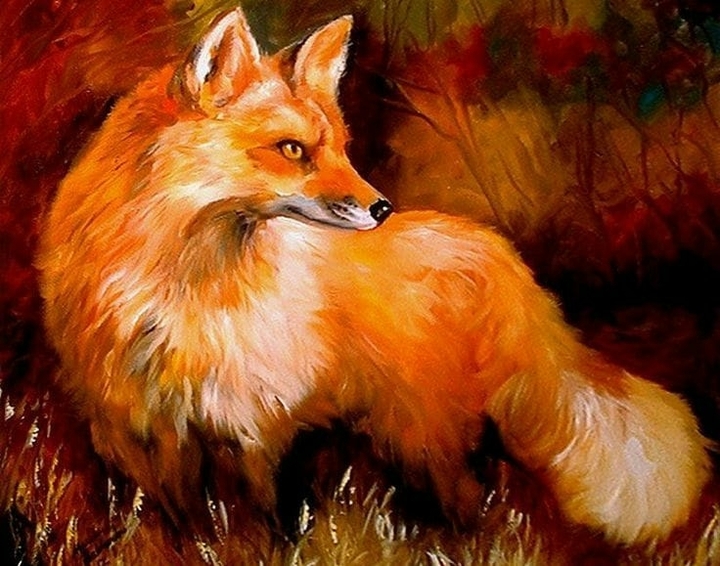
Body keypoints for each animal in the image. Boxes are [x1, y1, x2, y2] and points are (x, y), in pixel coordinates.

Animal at [37, 6, 710, 547]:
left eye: (340, 146)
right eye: (293, 150)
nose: (381, 207)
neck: (179, 288)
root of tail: (500, 252)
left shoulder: (255, 423)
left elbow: (266, 520)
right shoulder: (138, 432)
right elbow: (179, 527)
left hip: (420, 434)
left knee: (473, 505)